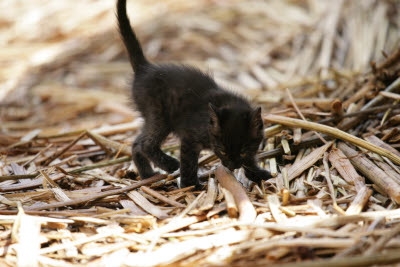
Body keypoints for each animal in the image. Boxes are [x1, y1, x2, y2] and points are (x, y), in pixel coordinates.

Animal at [117, 0, 270, 188]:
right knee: (146, 143)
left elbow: (250, 159)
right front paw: (190, 185)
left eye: (242, 152)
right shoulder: (190, 137)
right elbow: (189, 162)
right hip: (159, 116)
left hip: (153, 118)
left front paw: (258, 173)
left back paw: (147, 175)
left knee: (137, 143)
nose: (231, 166)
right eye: (222, 151)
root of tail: (145, 68)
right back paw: (169, 164)